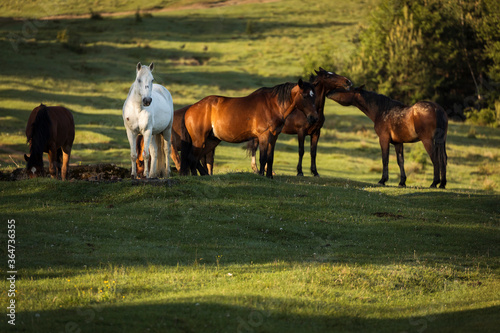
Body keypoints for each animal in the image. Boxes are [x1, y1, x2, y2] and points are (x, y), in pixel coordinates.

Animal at [182, 78, 318, 176]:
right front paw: (261, 176)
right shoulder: (263, 136)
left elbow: (270, 158)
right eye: (305, 96)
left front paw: (269, 176)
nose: (314, 118)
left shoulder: (274, 136)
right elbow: (263, 158)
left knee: (197, 159)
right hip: (199, 140)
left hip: (211, 140)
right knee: (192, 158)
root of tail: (190, 109)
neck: (272, 105)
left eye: (314, 96)